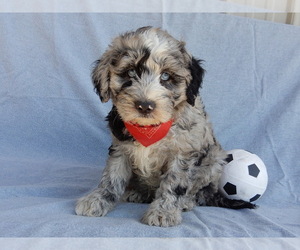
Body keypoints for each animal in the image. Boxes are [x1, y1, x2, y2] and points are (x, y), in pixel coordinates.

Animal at [74, 26, 253, 227]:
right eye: (130, 73)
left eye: (166, 76)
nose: (145, 105)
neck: (150, 128)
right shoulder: (120, 147)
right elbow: (112, 177)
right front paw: (97, 199)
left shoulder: (184, 153)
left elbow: (174, 184)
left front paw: (163, 212)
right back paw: (139, 193)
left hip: (214, 160)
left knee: (200, 191)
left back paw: (186, 202)